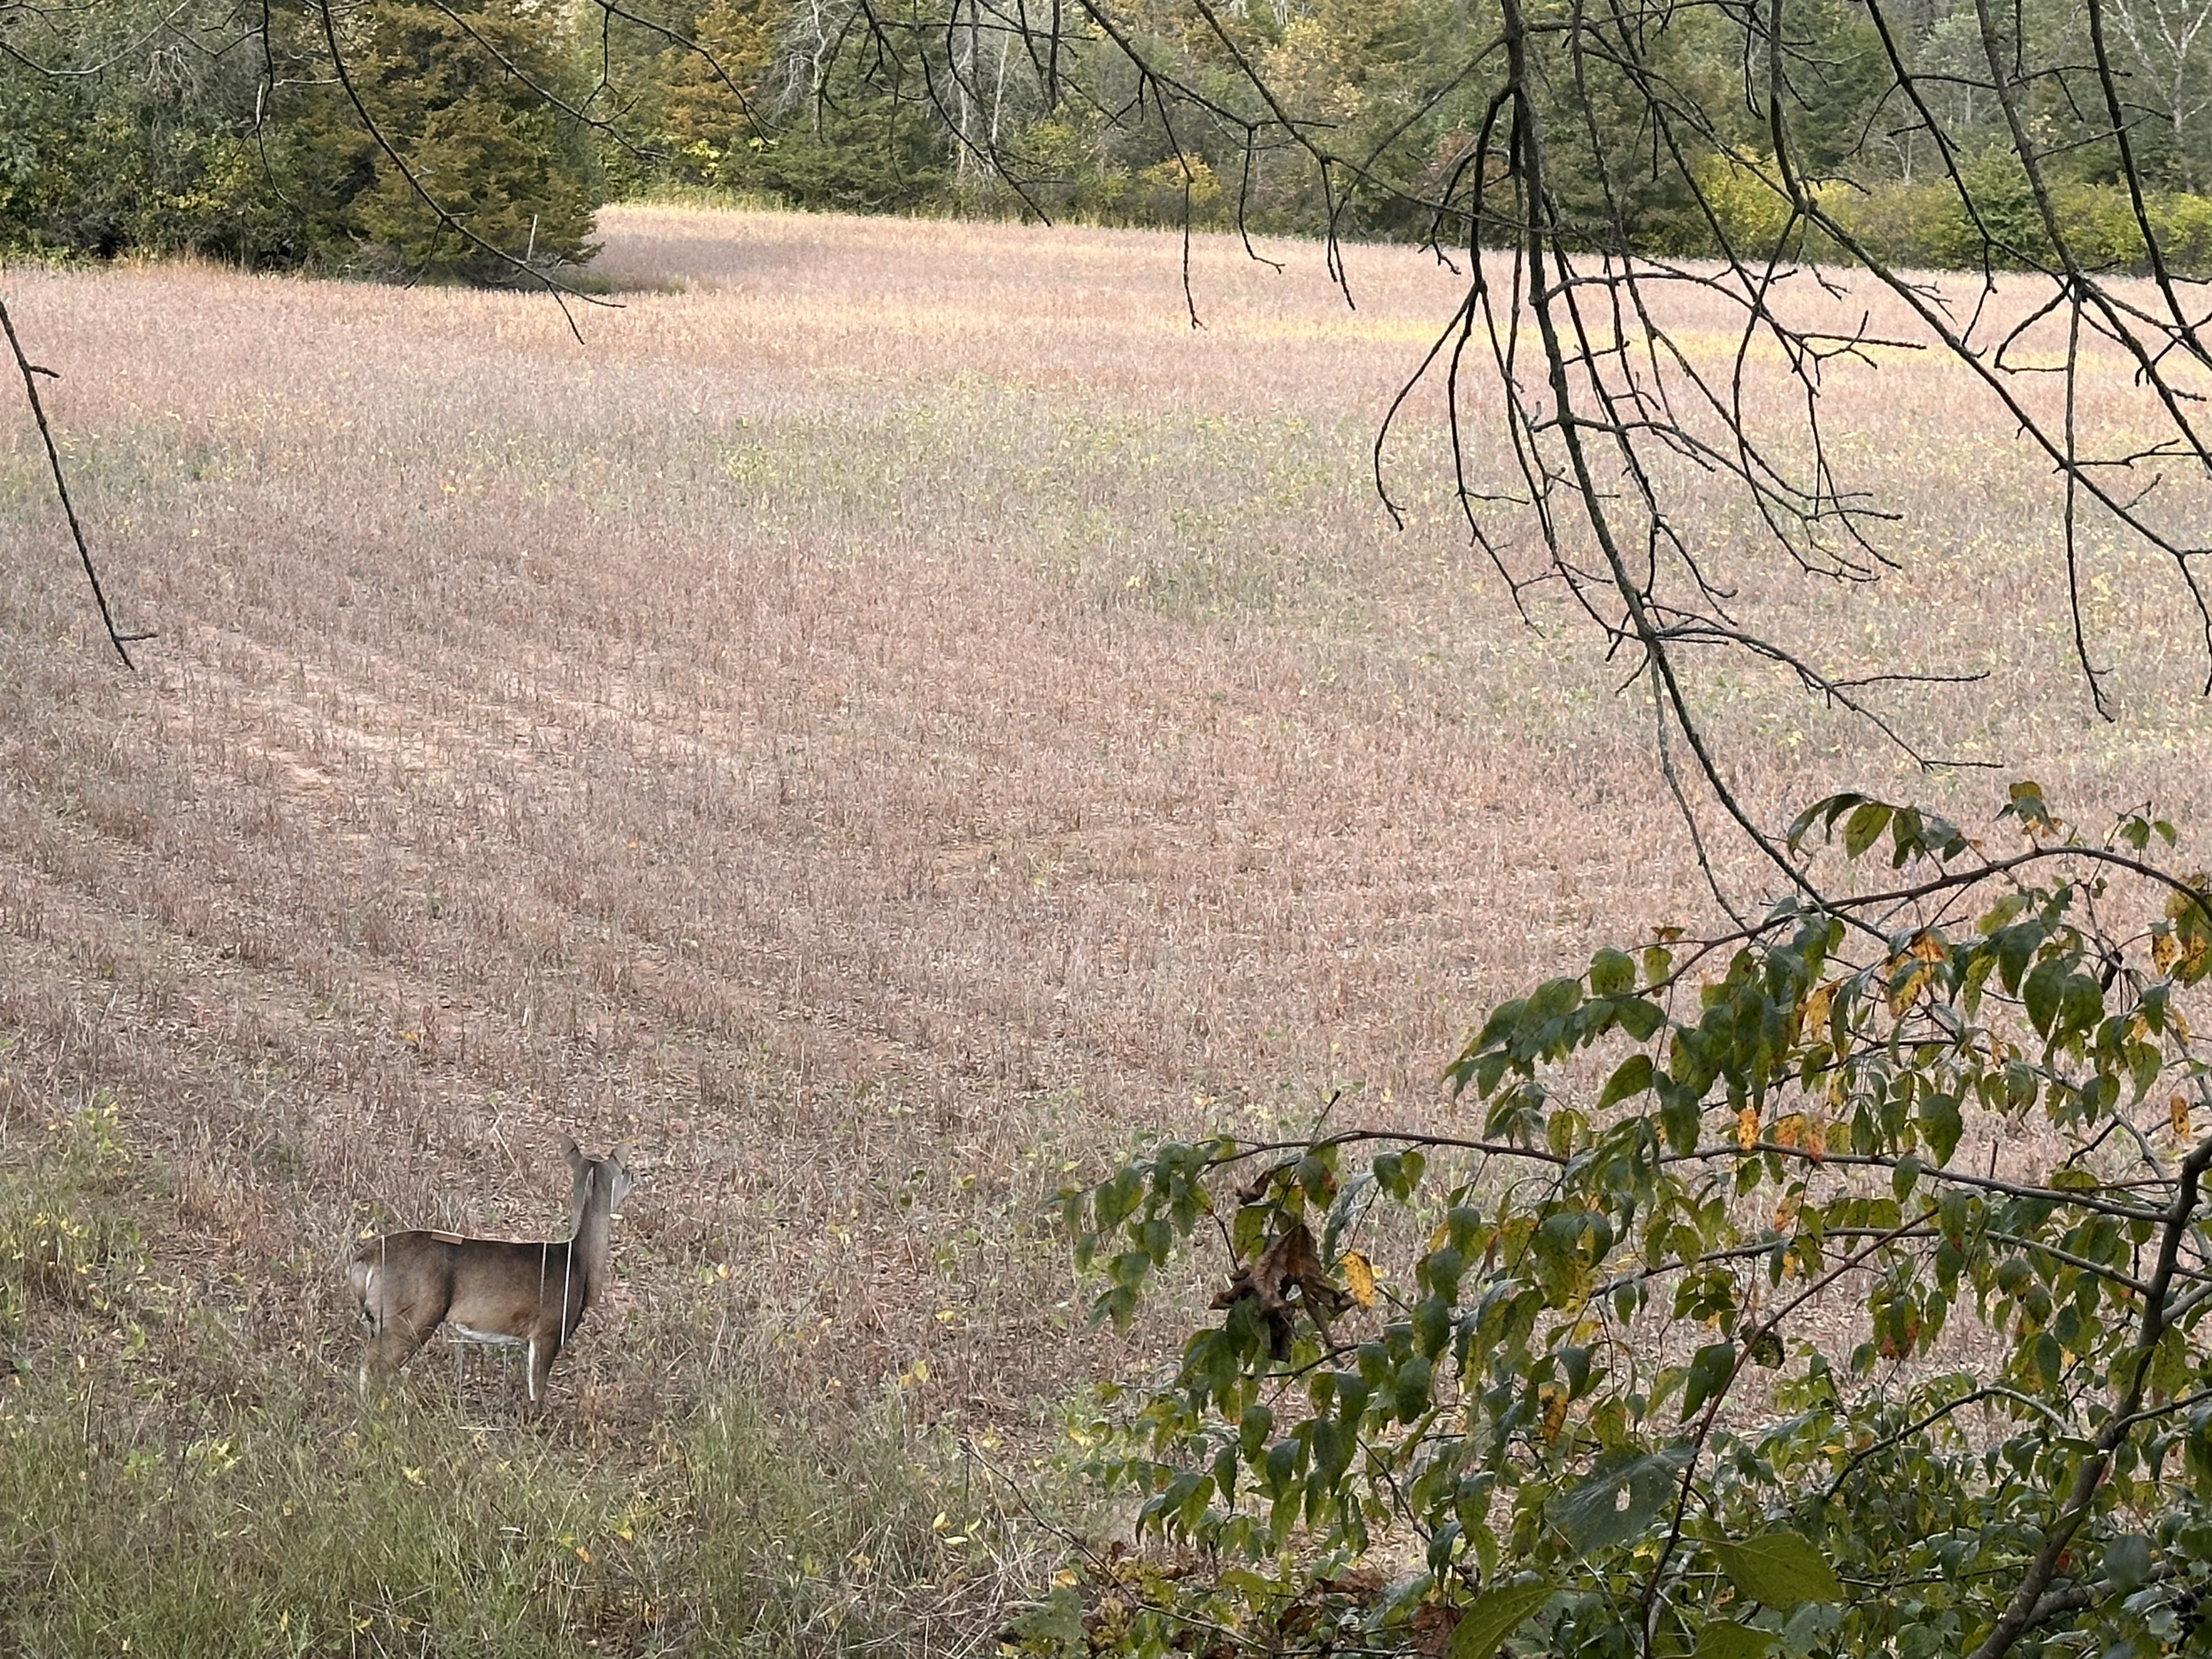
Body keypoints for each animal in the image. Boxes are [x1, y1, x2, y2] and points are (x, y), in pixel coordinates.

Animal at [348, 1139, 634, 1409]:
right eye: (621, 1171)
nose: (633, 1174)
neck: (576, 1262)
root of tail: (365, 1259)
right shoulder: (549, 1328)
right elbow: (537, 1390)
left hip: (381, 1318)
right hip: (411, 1315)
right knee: (373, 1363)